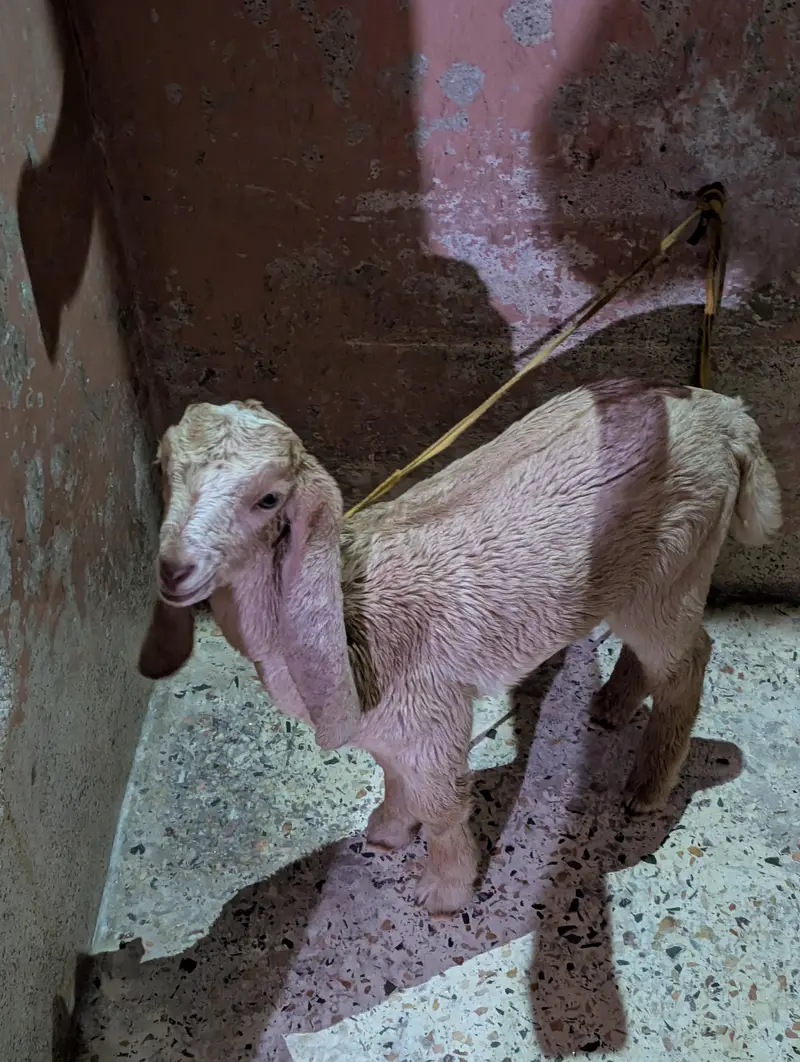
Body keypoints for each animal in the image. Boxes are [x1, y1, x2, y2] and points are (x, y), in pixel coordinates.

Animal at [138, 379, 782, 914]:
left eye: (269, 499)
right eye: (163, 466)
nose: (173, 571)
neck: (351, 609)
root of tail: (727, 414)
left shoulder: (433, 714)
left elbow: (443, 807)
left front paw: (446, 892)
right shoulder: (392, 729)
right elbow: (394, 779)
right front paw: (388, 832)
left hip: (673, 572)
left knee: (689, 659)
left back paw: (647, 787)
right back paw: (610, 706)